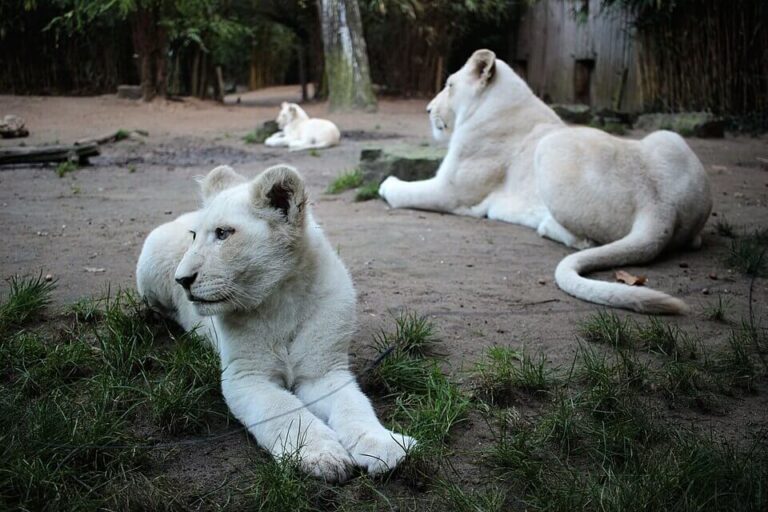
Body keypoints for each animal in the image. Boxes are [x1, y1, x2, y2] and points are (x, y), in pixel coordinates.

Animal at [136, 164, 415, 481]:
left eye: (223, 233)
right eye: (193, 236)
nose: (181, 280)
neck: (282, 299)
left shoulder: (323, 372)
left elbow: (353, 405)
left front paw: (385, 447)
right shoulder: (246, 376)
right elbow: (284, 409)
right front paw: (321, 455)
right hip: (150, 262)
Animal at [379, 49, 712, 314]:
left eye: (449, 85)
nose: (427, 110)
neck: (496, 103)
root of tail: (659, 206)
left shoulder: (452, 192)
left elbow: (402, 191)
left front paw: (386, 184)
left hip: (550, 147)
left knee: (586, 240)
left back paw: (547, 226)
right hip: (669, 138)